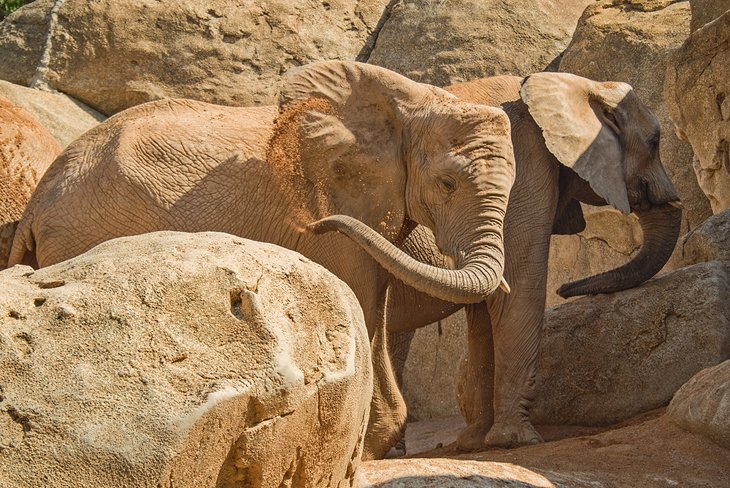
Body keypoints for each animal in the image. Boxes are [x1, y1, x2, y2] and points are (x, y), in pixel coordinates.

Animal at [8, 60, 516, 458]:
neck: (410, 102)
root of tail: (38, 199)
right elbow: (363, 309)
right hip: (84, 231)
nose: (319, 225)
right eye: (447, 183)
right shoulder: (335, 203)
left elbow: (375, 309)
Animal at [384, 70, 680, 452]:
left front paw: (476, 443)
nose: (567, 289)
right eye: (655, 142)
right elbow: (521, 283)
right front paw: (516, 441)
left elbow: (486, 309)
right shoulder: (524, 169)